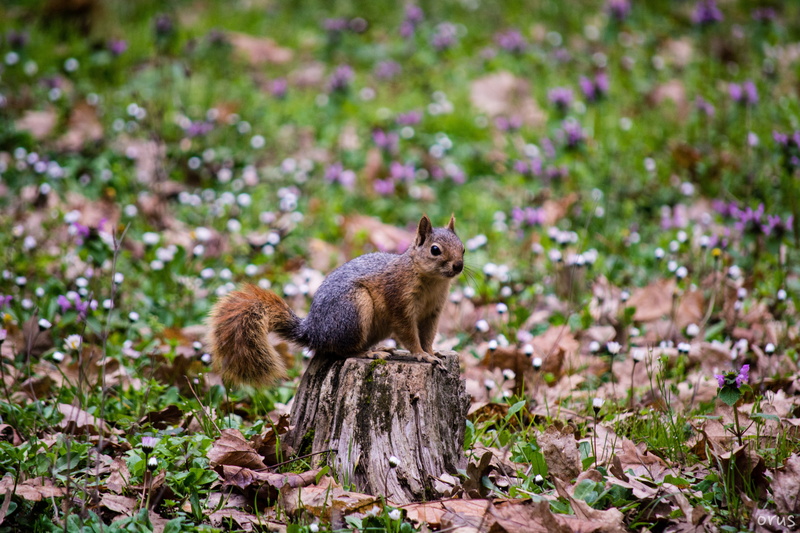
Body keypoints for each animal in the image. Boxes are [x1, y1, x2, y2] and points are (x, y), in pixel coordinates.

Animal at [206, 215, 465, 387]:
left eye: (462, 248)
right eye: (434, 250)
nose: (458, 266)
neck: (431, 281)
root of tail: (314, 331)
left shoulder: (433, 312)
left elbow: (428, 335)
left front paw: (432, 352)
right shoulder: (398, 300)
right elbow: (409, 334)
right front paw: (422, 355)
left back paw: (378, 348)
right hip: (353, 310)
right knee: (343, 351)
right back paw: (370, 354)